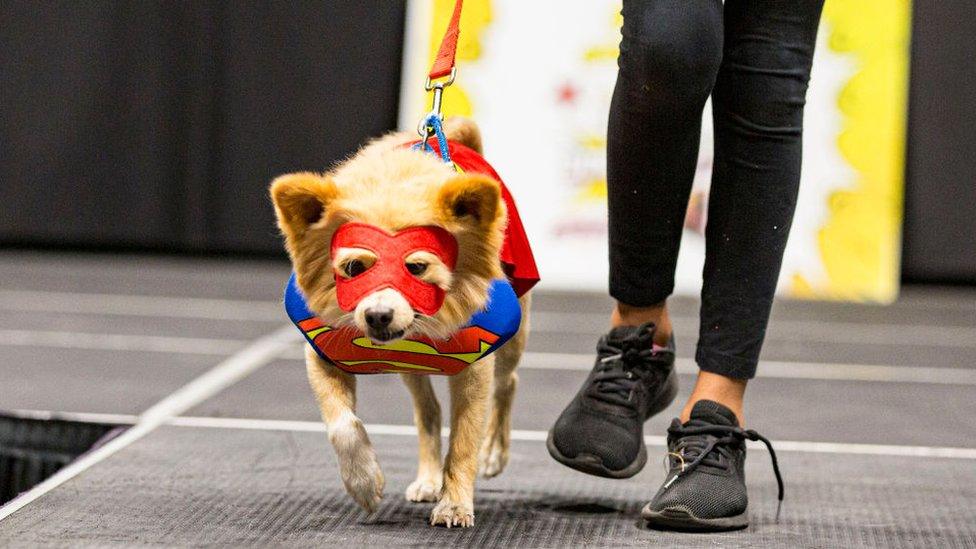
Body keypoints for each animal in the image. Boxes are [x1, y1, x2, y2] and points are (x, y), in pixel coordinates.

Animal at [268, 116, 532, 528]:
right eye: (353, 268)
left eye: (417, 268)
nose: (377, 315)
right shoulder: (321, 355)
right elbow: (342, 426)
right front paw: (364, 481)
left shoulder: (475, 370)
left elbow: (463, 441)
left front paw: (455, 503)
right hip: (412, 368)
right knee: (428, 412)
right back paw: (428, 479)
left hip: (511, 345)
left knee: (507, 385)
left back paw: (493, 452)